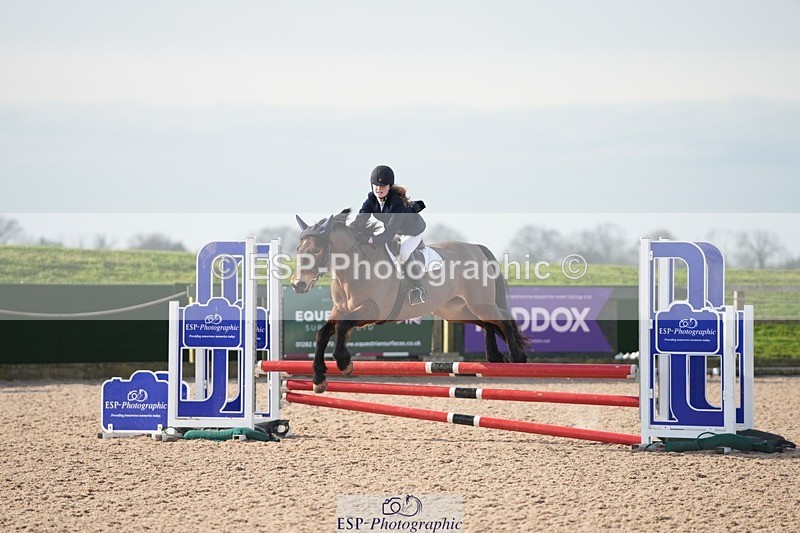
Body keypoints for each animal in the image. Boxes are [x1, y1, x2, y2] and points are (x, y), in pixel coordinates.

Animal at [291, 209, 531, 393]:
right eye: (298, 250)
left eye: (316, 250)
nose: (297, 285)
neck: (354, 269)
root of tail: (476, 248)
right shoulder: (340, 311)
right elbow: (323, 333)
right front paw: (319, 379)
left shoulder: (371, 310)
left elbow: (341, 327)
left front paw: (344, 362)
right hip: (456, 310)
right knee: (488, 323)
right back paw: (495, 356)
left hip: (479, 304)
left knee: (503, 319)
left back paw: (518, 356)